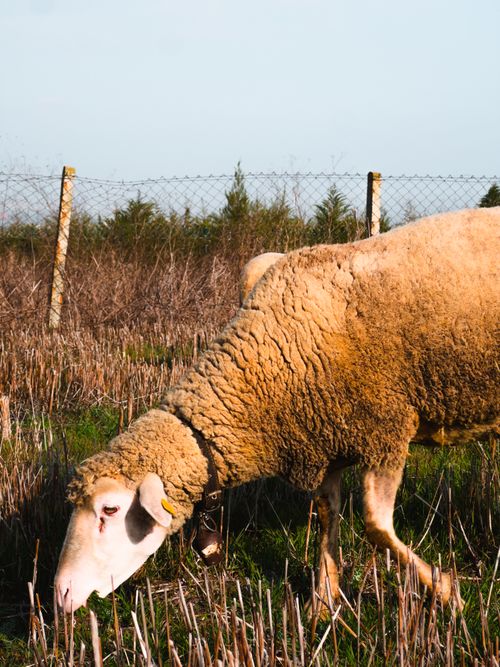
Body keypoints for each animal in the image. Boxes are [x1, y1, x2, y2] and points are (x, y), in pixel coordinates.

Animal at [55, 207, 499, 614]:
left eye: (109, 510)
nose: (60, 596)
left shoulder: (385, 427)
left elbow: (375, 525)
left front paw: (447, 592)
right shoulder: (324, 438)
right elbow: (327, 515)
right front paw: (322, 603)